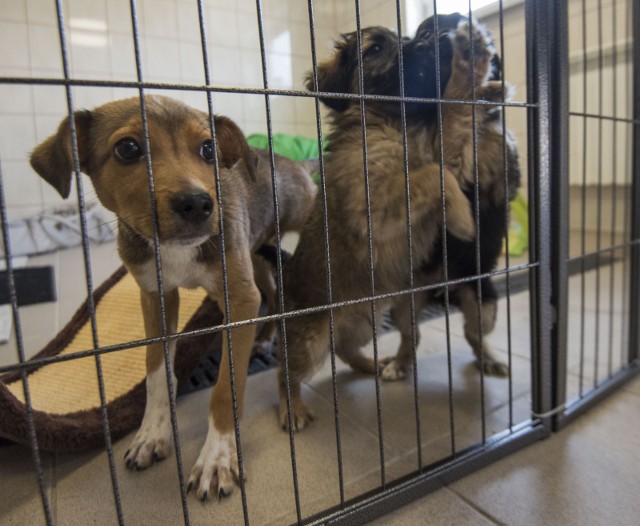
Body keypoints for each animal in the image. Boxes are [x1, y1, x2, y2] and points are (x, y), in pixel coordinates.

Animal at [31, 93, 316, 502]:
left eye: (209, 149)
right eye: (128, 148)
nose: (197, 204)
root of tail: (295, 163)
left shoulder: (238, 298)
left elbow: (225, 387)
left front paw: (217, 459)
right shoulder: (156, 296)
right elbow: (155, 372)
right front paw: (152, 433)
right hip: (257, 255)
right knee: (272, 294)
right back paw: (263, 340)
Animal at [276, 21, 500, 434]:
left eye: (408, 38)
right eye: (376, 48)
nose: (432, 42)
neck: (392, 123)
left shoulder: (447, 153)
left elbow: (449, 146)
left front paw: (474, 67)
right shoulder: (375, 210)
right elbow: (431, 175)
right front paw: (463, 220)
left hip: (365, 322)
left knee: (345, 348)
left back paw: (373, 364)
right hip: (310, 339)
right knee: (285, 372)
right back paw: (292, 409)